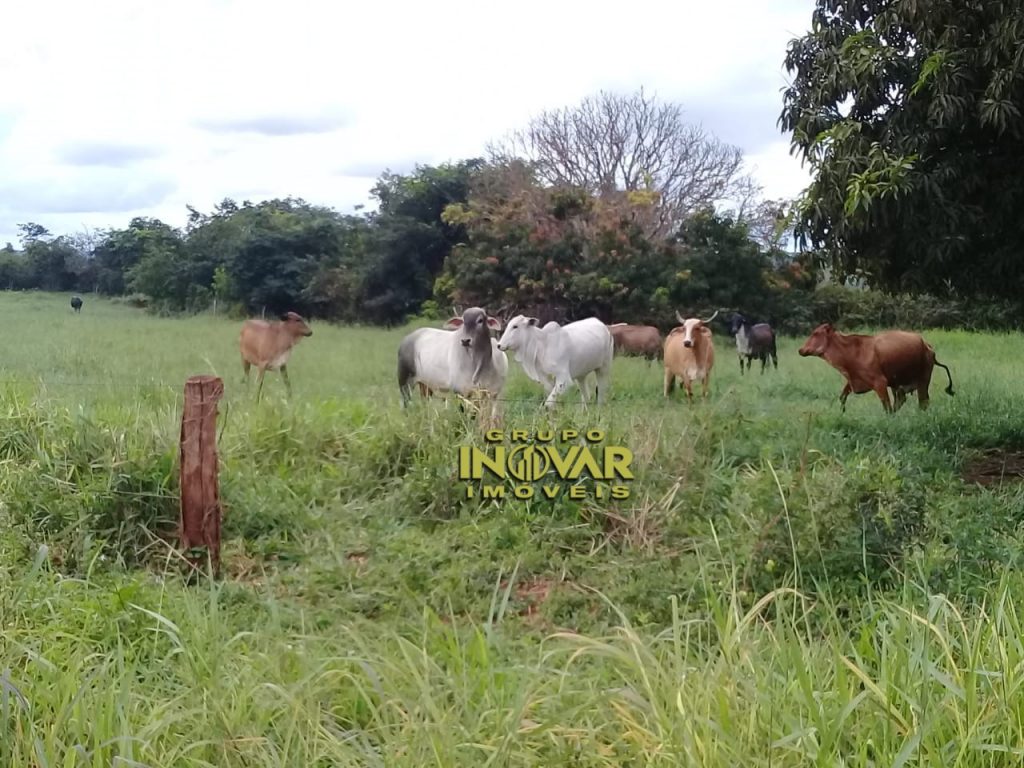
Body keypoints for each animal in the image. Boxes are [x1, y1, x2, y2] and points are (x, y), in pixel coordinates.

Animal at [794, 319, 954, 411]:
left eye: (815, 333)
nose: (800, 349)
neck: (852, 352)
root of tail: (927, 345)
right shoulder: (853, 380)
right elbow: (842, 397)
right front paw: (842, 412)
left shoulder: (880, 383)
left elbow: (886, 407)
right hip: (898, 385)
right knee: (902, 401)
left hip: (923, 380)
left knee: (923, 402)